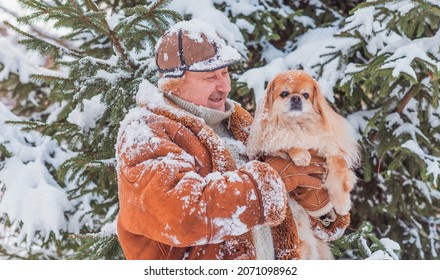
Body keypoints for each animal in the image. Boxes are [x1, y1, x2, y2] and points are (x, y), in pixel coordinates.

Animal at [246, 70, 360, 260]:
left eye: (306, 95)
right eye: (284, 93)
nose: (296, 98)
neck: (298, 124)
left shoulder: (331, 148)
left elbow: (339, 173)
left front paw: (342, 203)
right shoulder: (273, 142)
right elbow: (289, 142)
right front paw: (301, 155)